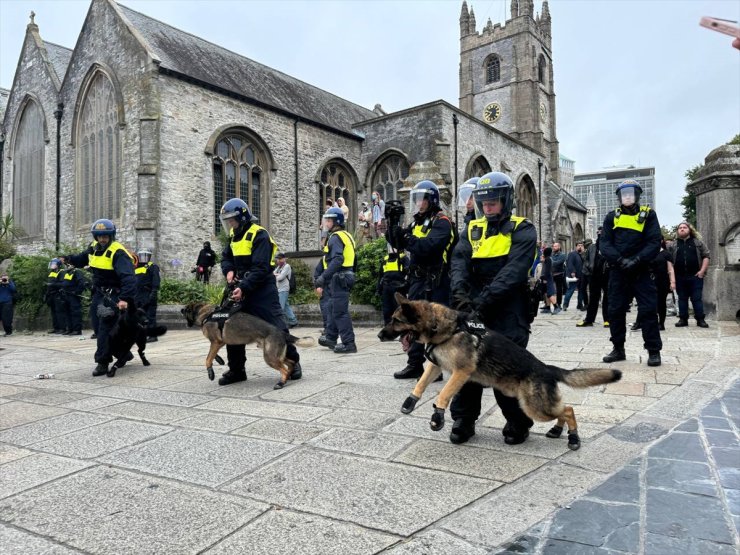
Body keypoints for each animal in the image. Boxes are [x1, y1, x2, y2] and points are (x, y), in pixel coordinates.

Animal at [185, 302, 316, 388]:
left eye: (185, 311)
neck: (206, 313)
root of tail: (281, 332)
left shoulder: (217, 342)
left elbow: (207, 358)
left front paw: (210, 372)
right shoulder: (216, 343)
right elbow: (212, 355)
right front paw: (219, 360)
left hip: (269, 357)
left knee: (283, 369)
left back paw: (281, 383)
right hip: (276, 355)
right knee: (291, 362)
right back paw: (288, 376)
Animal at [378, 294, 620, 450]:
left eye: (395, 321)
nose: (379, 336)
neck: (447, 328)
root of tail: (545, 368)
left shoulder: (461, 372)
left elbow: (444, 394)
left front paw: (437, 415)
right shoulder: (435, 364)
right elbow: (420, 383)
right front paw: (410, 402)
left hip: (535, 407)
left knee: (568, 409)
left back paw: (573, 438)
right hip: (532, 404)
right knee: (563, 409)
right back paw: (558, 430)